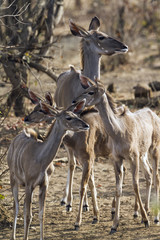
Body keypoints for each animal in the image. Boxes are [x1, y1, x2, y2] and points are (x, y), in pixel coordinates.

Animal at [7, 92, 89, 240]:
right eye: (68, 117)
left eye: (76, 115)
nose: (86, 125)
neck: (40, 158)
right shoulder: (29, 184)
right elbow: (28, 215)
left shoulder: (43, 185)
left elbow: (41, 214)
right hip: (13, 180)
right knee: (16, 207)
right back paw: (13, 236)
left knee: (22, 207)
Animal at [73, 76, 160, 233]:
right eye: (86, 89)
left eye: (91, 91)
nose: (75, 101)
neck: (119, 130)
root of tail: (154, 115)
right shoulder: (117, 159)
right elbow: (118, 189)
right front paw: (114, 225)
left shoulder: (133, 157)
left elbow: (135, 185)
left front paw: (145, 220)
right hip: (143, 155)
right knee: (150, 174)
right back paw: (146, 210)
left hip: (154, 151)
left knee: (156, 177)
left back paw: (155, 217)